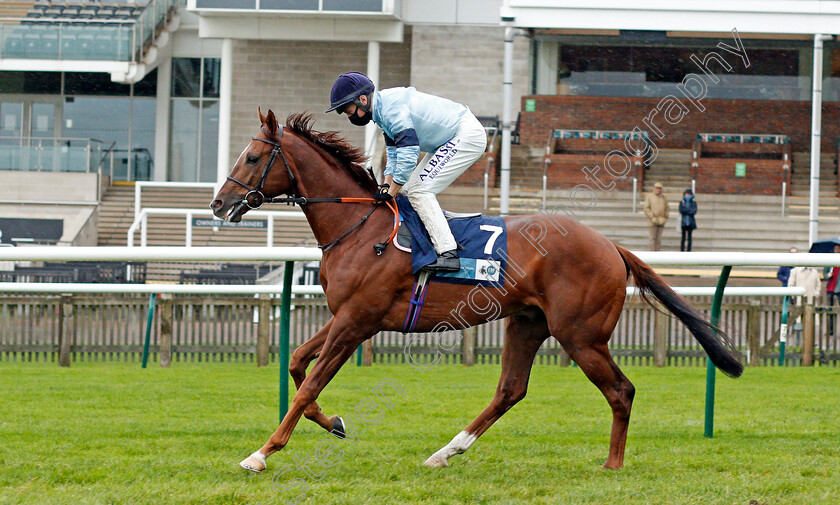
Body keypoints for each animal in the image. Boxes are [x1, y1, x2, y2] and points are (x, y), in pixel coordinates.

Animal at [210, 109, 740, 472]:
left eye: (252, 157)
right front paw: (335, 423)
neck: (358, 228)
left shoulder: (356, 321)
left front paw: (261, 453)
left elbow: (308, 385)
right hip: (528, 322)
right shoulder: (348, 316)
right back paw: (446, 451)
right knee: (511, 389)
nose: (218, 204)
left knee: (621, 390)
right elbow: (299, 364)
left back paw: (612, 464)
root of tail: (611, 244)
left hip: (582, 335)